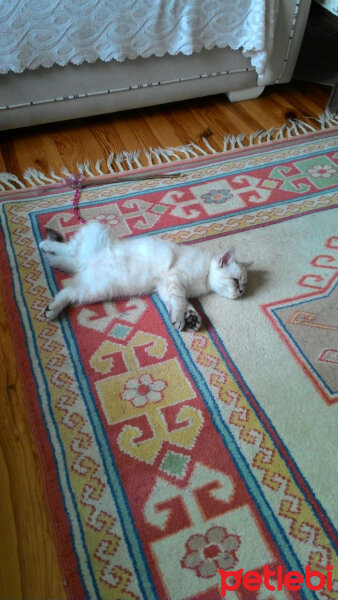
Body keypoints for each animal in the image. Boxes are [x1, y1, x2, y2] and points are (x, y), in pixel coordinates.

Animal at [39, 221, 251, 330]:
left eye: (244, 285)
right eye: (236, 281)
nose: (241, 291)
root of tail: (82, 265)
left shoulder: (166, 286)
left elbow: (180, 303)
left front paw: (191, 319)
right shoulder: (174, 278)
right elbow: (179, 301)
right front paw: (181, 319)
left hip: (95, 290)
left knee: (67, 292)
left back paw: (51, 310)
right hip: (91, 237)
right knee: (65, 248)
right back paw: (45, 244)